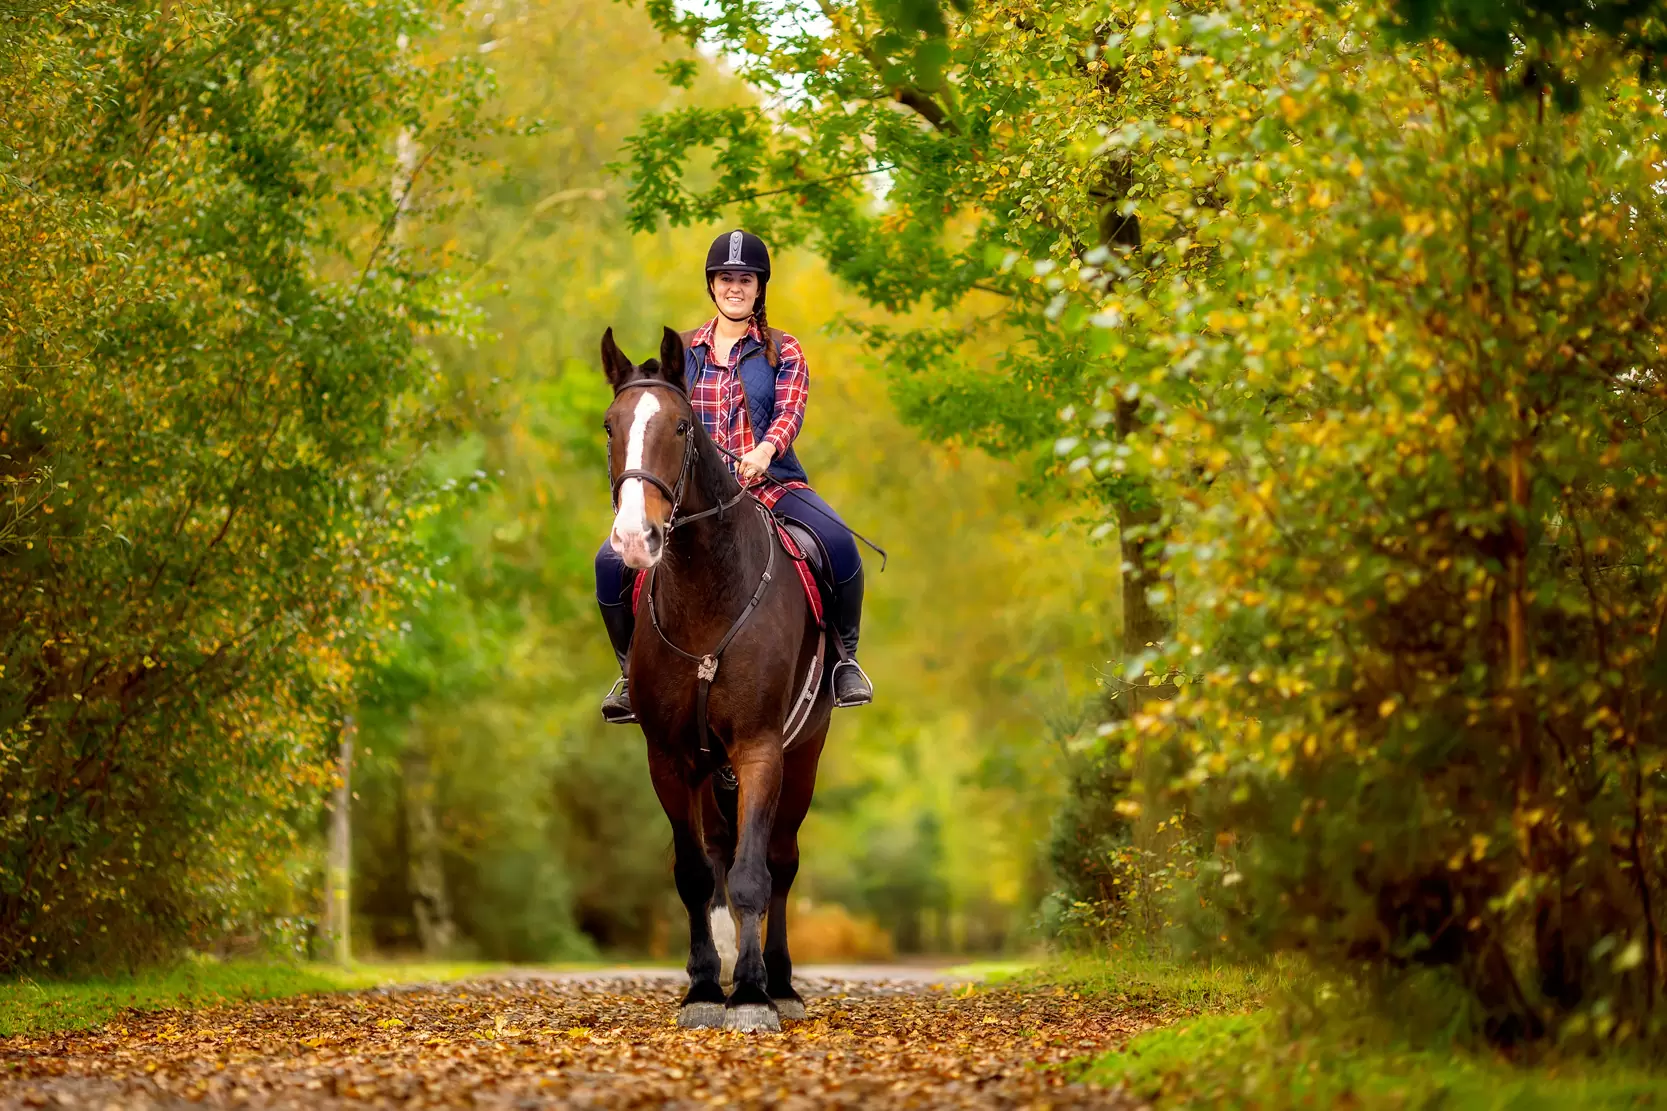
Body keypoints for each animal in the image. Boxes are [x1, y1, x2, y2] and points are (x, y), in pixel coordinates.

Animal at [599, 325, 834, 1033]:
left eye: (680, 426)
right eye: (610, 425)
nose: (634, 537)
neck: (709, 593)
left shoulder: (760, 749)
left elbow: (756, 876)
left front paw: (753, 996)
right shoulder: (670, 758)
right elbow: (697, 875)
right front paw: (705, 988)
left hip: (803, 754)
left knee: (779, 863)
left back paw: (778, 981)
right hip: (709, 772)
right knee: (723, 859)